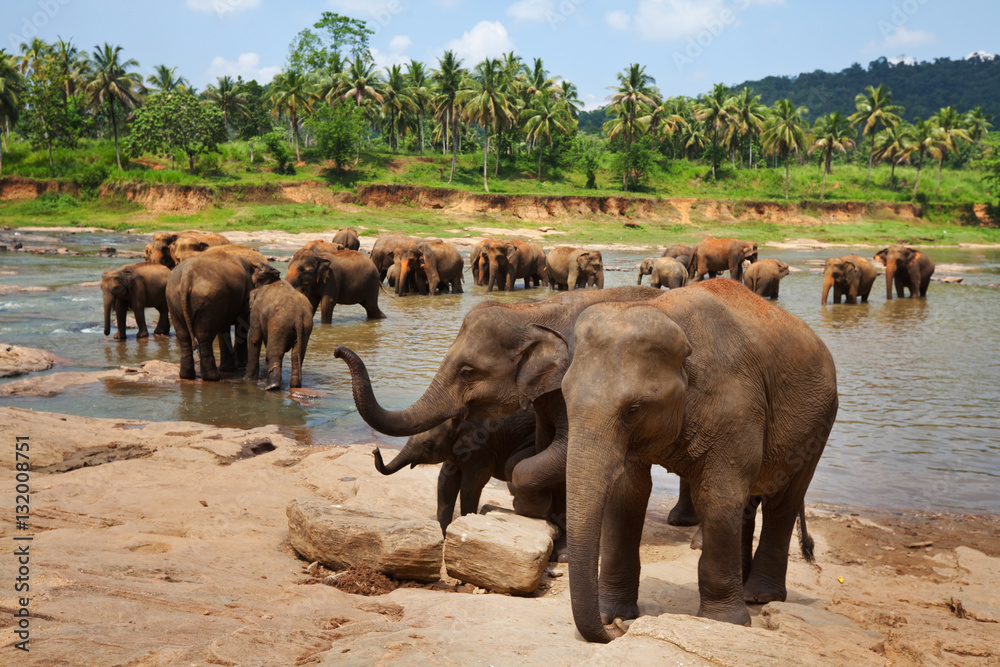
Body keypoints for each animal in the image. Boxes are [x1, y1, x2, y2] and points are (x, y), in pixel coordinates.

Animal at [166, 252, 278, 381]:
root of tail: (186, 277)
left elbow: (224, 329)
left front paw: (229, 368)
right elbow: (242, 324)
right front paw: (240, 365)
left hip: (174, 301)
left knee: (183, 335)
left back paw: (187, 376)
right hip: (208, 300)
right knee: (204, 336)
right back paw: (213, 377)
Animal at [373, 410, 538, 534]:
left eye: (428, 445)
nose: (375, 449)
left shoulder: (483, 450)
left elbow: (469, 486)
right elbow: (445, 482)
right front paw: (443, 537)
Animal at [559, 280, 837, 642]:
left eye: (633, 410)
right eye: (564, 397)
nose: (614, 631)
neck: (667, 311)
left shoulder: (735, 404)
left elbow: (718, 495)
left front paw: (725, 623)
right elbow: (627, 492)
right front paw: (614, 613)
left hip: (819, 422)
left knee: (783, 500)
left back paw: (759, 596)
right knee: (751, 500)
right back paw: (745, 584)